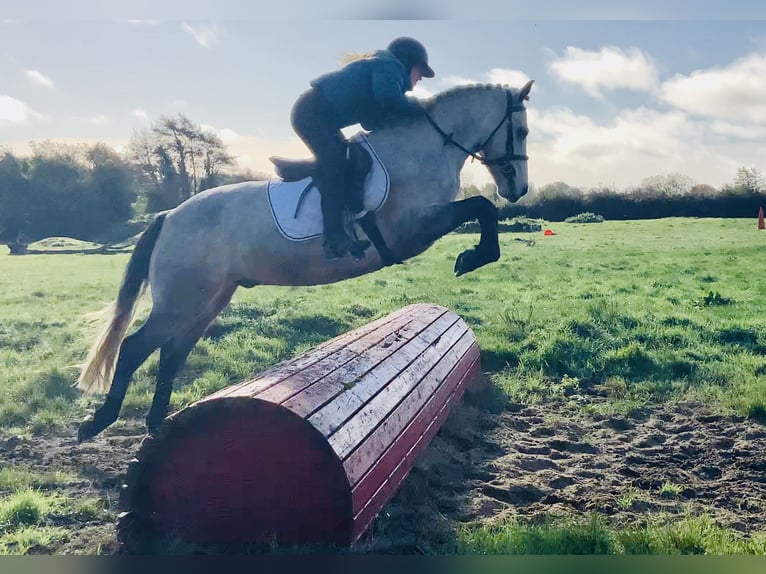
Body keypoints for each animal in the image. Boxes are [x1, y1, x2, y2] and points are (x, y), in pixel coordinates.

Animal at [75, 80, 534, 442]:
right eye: (523, 131)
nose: (519, 190)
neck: (425, 146)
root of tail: (169, 216)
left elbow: (481, 210)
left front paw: (473, 255)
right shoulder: (414, 227)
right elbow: (481, 207)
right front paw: (472, 257)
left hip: (209, 299)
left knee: (172, 353)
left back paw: (157, 426)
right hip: (183, 299)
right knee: (135, 347)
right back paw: (99, 422)